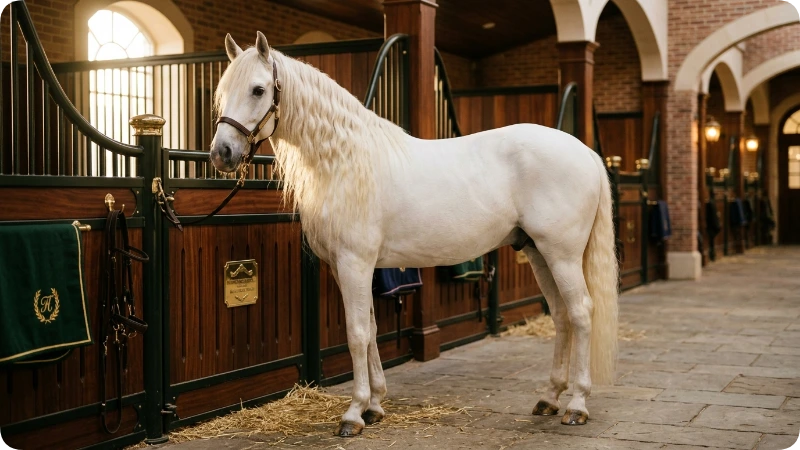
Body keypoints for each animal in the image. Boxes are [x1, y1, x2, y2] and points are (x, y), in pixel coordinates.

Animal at [210, 32, 619, 437]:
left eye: (259, 90)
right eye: (222, 90)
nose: (221, 153)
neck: (345, 162)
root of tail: (584, 151)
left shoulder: (354, 263)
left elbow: (356, 333)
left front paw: (354, 413)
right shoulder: (348, 268)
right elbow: (372, 329)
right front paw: (375, 405)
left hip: (562, 255)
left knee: (581, 312)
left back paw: (577, 405)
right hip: (537, 252)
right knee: (562, 315)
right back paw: (549, 398)